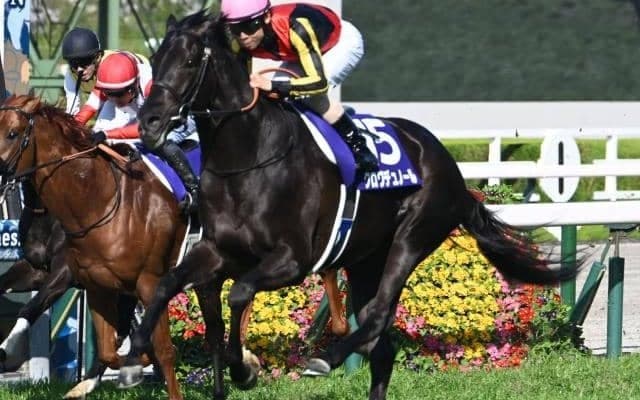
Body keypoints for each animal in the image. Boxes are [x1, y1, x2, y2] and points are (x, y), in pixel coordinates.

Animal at [118, 11, 578, 400]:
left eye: (190, 60)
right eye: (155, 59)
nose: (149, 123)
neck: (247, 158)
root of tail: (452, 170)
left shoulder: (293, 260)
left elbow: (241, 293)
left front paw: (243, 368)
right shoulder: (217, 250)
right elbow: (168, 282)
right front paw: (134, 352)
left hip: (413, 237)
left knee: (375, 316)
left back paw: (326, 358)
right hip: (364, 259)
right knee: (382, 346)